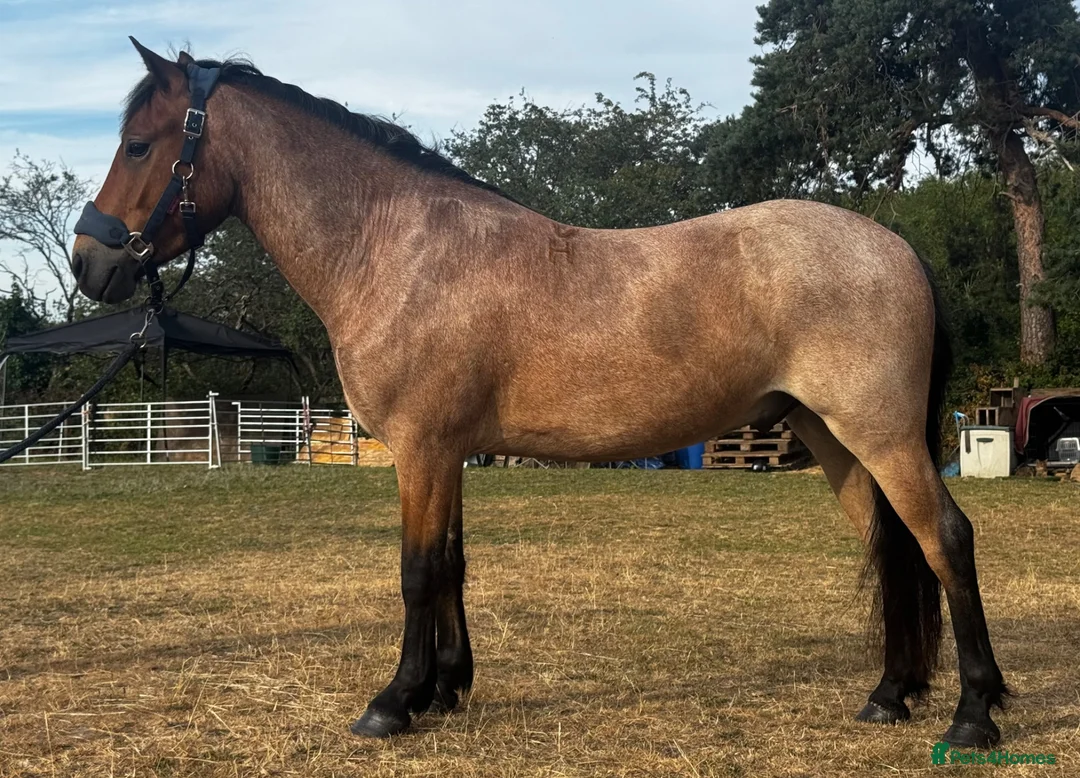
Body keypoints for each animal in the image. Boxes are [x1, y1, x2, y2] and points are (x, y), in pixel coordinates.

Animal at [70, 39, 1008, 747]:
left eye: (141, 144)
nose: (90, 262)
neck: (394, 247)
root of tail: (894, 246)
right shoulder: (446, 451)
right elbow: (451, 565)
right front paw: (445, 690)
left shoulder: (420, 448)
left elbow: (417, 571)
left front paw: (392, 704)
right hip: (831, 439)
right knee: (894, 545)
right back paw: (890, 695)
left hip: (879, 434)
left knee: (947, 540)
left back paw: (973, 715)